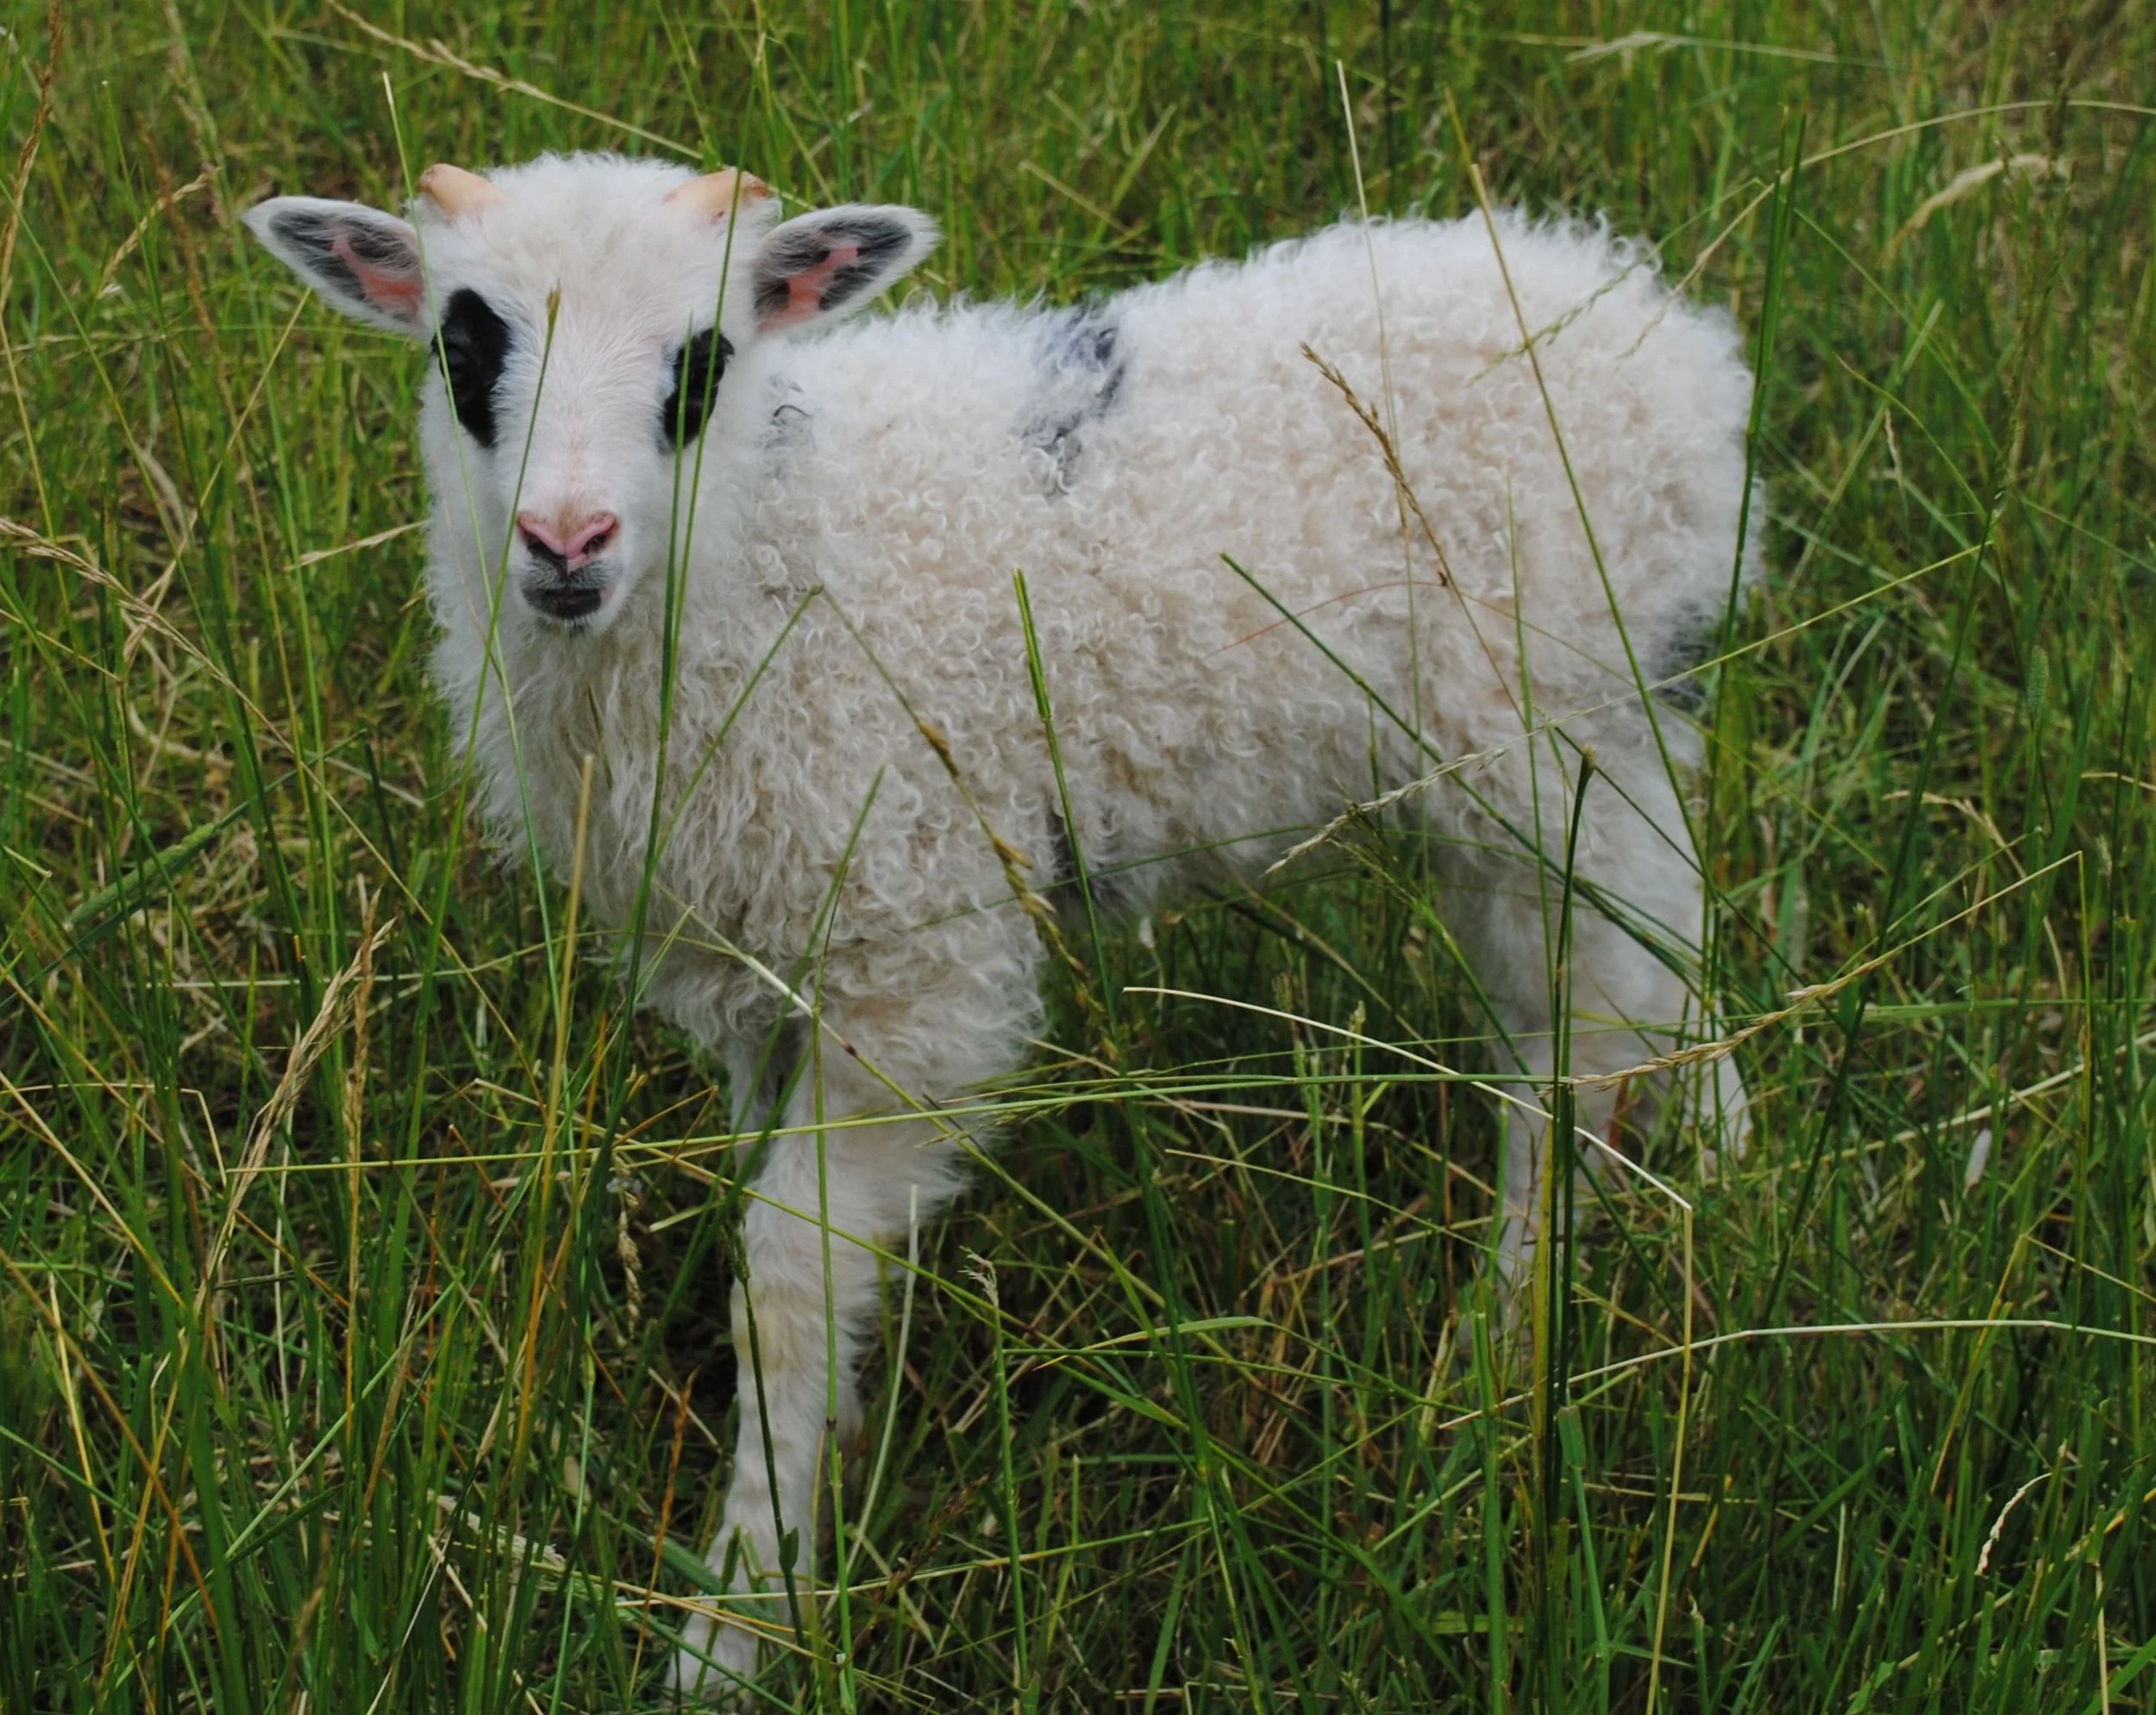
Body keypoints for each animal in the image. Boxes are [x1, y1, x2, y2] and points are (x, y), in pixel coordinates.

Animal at [245, 150, 1759, 1697]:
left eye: (704, 360)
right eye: (464, 346)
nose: (565, 542)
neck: (778, 547)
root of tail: (1659, 328)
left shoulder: (911, 960)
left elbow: (783, 1280)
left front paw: (741, 1619)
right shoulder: (761, 963)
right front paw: (832, 1454)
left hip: (1542, 733)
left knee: (1579, 1046)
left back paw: (1507, 1347)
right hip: (1598, 738)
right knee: (1662, 946)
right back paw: (1724, 1171)